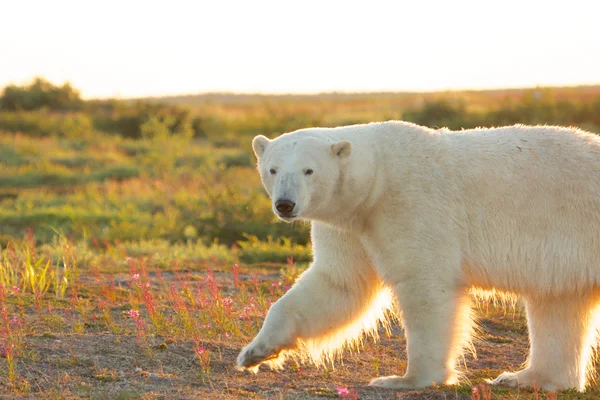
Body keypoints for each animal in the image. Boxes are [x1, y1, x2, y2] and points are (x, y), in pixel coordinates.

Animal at [237, 120, 600, 392]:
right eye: (272, 169)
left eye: (309, 170)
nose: (285, 204)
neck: (377, 177)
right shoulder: (352, 225)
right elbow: (339, 285)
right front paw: (254, 353)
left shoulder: (409, 203)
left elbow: (424, 285)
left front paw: (405, 379)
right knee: (558, 305)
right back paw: (525, 378)